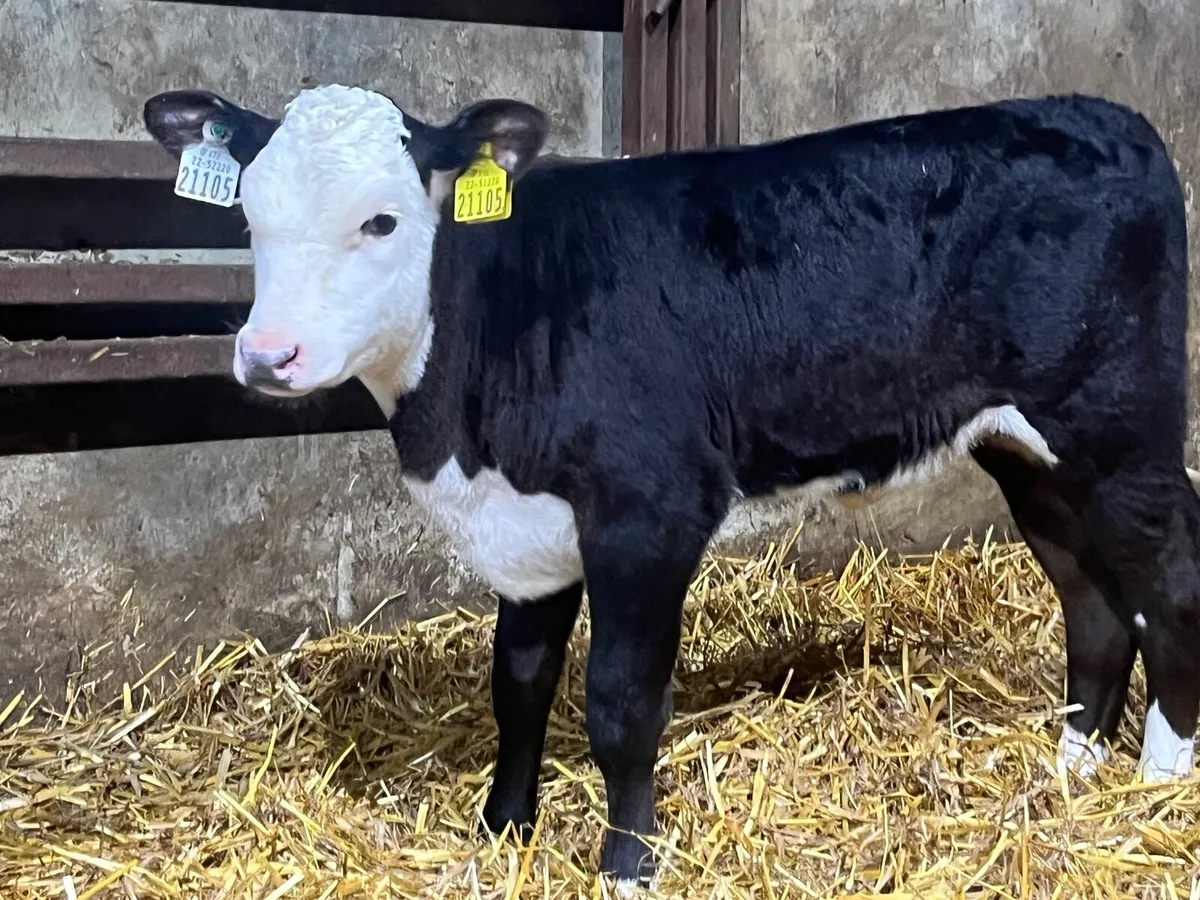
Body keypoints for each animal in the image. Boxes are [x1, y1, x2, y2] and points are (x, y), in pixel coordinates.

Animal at [143, 84, 1198, 888]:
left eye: (382, 219)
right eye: (249, 218)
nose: (268, 356)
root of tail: (1106, 115)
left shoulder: (647, 511)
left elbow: (619, 702)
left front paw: (627, 866)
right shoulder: (527, 528)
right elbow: (518, 684)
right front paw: (503, 830)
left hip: (1117, 426)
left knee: (1171, 578)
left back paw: (1160, 776)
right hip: (1028, 449)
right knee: (1094, 599)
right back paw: (1071, 769)